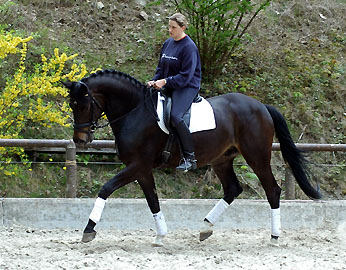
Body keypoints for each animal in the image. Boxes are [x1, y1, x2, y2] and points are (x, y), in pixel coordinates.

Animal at [60, 70, 320, 247]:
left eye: (83, 105)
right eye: (71, 105)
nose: (80, 140)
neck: (135, 112)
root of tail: (262, 106)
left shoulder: (138, 165)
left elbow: (106, 188)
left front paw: (89, 229)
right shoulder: (142, 170)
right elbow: (153, 200)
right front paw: (160, 236)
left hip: (256, 156)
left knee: (272, 190)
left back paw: (274, 236)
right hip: (221, 160)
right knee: (233, 189)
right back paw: (205, 227)